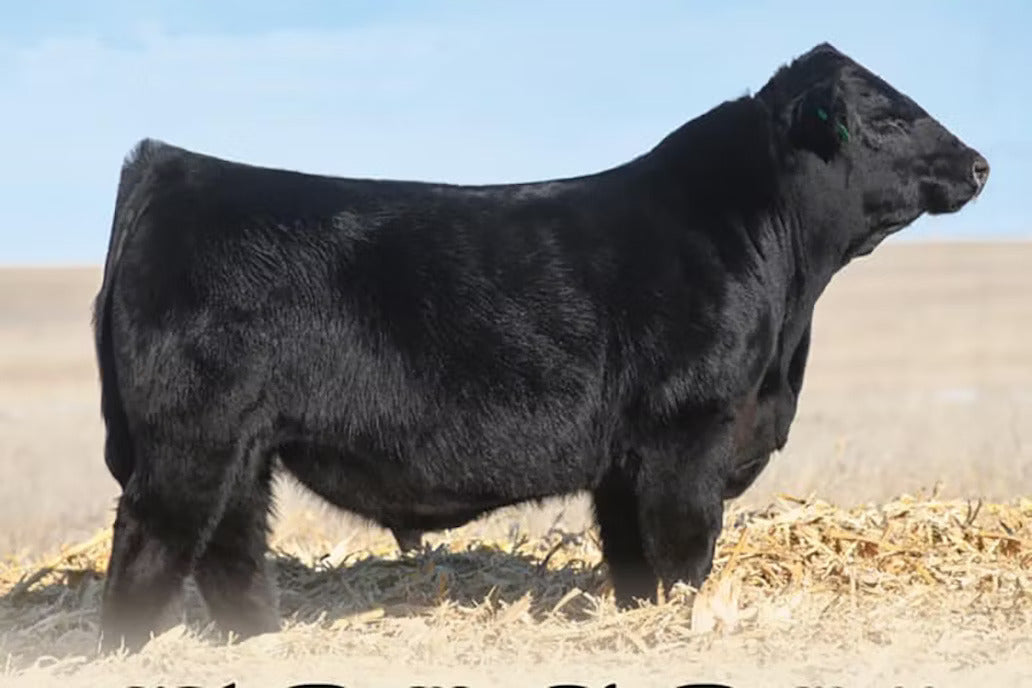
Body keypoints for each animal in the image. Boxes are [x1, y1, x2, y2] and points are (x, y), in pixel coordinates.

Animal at [93, 42, 988, 650]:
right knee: (147, 551)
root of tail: (171, 165)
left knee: (229, 550)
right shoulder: (686, 436)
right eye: (888, 117)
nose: (979, 164)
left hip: (241, 449)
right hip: (188, 443)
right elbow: (683, 553)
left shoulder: (625, 463)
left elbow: (634, 566)